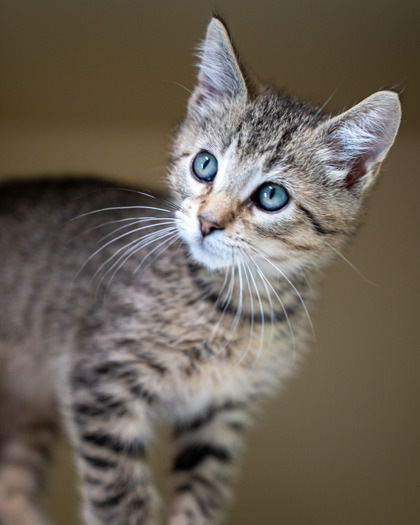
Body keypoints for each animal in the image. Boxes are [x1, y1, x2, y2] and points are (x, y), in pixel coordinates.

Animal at [0, 14, 400, 524]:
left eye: (272, 196)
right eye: (204, 165)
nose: (207, 222)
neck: (236, 305)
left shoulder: (221, 414)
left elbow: (203, 498)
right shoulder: (101, 381)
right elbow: (120, 500)